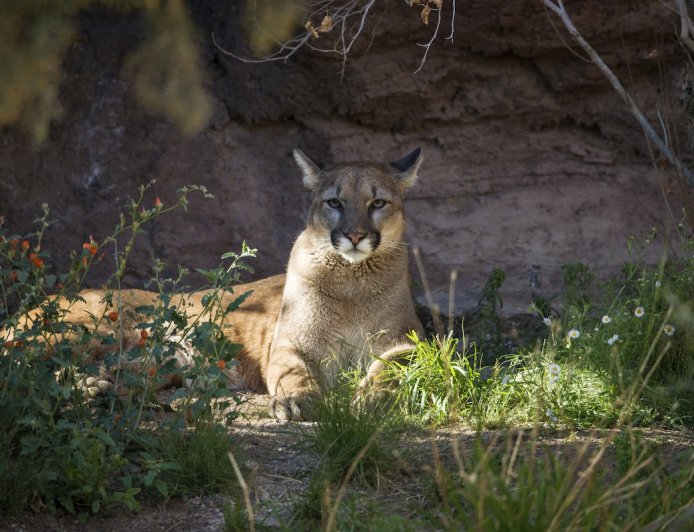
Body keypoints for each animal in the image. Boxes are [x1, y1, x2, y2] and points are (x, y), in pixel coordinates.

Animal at [3, 148, 425, 420]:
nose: (354, 235)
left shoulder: (410, 340)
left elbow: (394, 366)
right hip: (92, 331)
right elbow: (293, 372)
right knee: (23, 366)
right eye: (334, 202)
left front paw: (372, 400)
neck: (352, 281)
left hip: (155, 361)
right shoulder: (291, 343)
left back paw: (97, 390)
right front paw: (297, 401)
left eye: (377, 203)